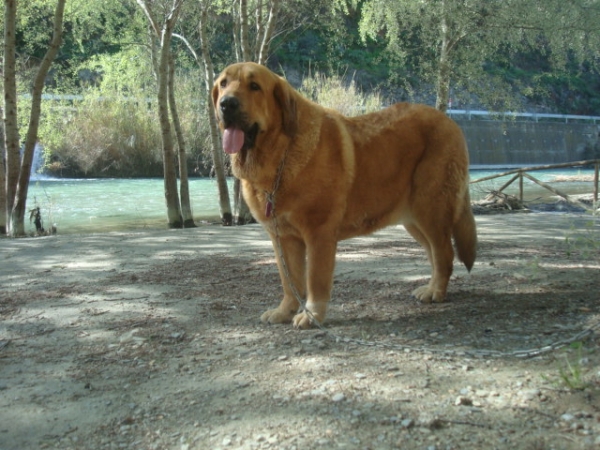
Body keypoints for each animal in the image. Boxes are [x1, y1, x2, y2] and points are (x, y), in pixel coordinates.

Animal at [213, 61, 476, 328]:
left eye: (254, 86)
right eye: (223, 84)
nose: (227, 103)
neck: (279, 157)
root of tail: (451, 122)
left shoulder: (318, 234)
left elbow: (315, 280)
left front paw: (312, 315)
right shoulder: (283, 238)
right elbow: (290, 281)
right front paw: (284, 311)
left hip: (431, 209)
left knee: (444, 253)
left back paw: (436, 292)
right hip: (414, 220)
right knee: (434, 254)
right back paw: (431, 288)